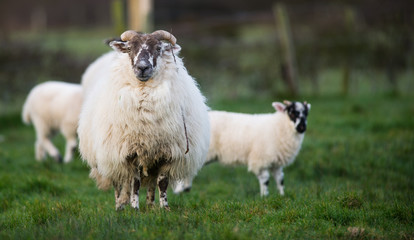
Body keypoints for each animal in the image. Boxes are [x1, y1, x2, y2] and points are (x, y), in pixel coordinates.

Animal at [77, 29, 210, 210]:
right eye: (130, 48)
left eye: (159, 48)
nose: (142, 67)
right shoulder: (129, 153)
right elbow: (135, 182)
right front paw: (135, 208)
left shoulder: (168, 153)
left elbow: (162, 182)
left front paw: (164, 208)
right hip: (111, 157)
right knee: (118, 183)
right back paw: (119, 207)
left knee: (152, 183)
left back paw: (150, 205)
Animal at [174, 101, 310, 197]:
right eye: (292, 113)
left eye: (306, 114)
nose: (302, 127)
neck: (280, 126)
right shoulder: (260, 159)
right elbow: (265, 179)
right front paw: (264, 196)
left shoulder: (276, 162)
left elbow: (280, 179)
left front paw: (282, 196)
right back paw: (179, 189)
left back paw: (185, 188)